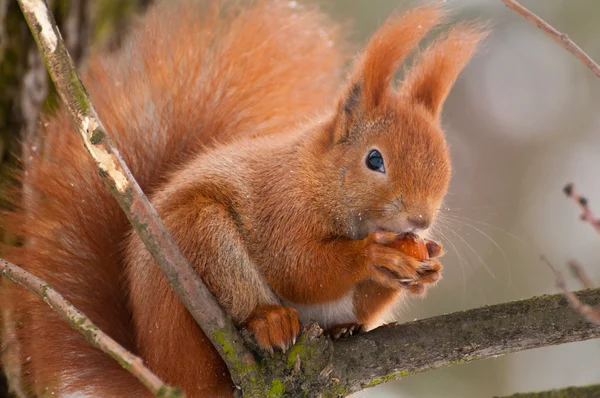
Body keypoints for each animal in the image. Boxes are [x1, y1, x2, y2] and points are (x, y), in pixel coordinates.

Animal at [0, 0, 486, 396]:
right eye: (374, 159)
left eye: (444, 160)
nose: (420, 221)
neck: (318, 176)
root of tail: (157, 367)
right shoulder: (282, 204)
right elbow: (296, 267)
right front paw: (372, 256)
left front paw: (428, 265)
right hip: (200, 239)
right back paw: (268, 321)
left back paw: (341, 330)